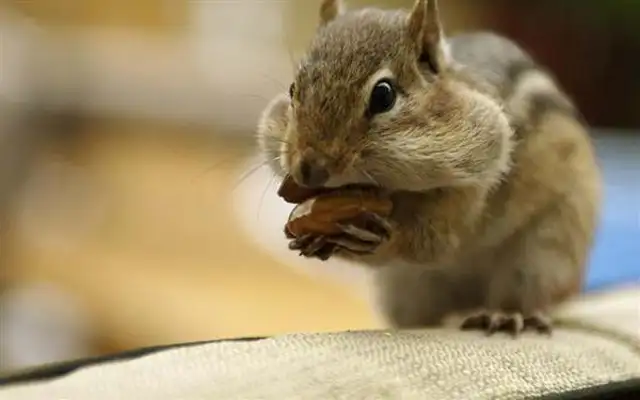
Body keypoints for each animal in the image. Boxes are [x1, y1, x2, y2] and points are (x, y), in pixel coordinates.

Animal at [257, 0, 602, 335]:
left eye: (383, 95)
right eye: (292, 90)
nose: (308, 170)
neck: (398, 192)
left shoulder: (474, 188)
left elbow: (433, 240)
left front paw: (377, 238)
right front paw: (307, 235)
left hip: (545, 254)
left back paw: (506, 315)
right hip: (405, 290)